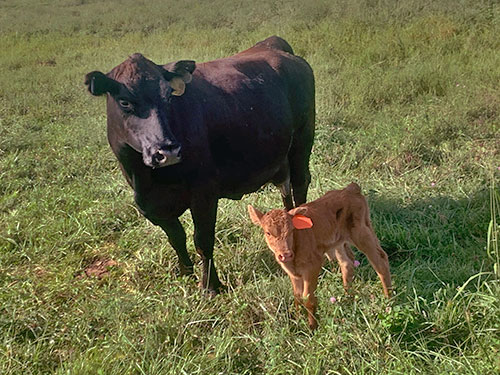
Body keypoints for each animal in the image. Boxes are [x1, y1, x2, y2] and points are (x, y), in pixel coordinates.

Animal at [84, 36, 314, 294]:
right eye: (124, 102)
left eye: (168, 97)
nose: (167, 151)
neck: (148, 179)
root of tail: (274, 46)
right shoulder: (150, 206)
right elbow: (176, 238)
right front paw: (185, 272)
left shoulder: (204, 193)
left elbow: (202, 240)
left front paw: (210, 285)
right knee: (286, 190)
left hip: (302, 141)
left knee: (300, 184)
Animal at [248, 184, 392, 330]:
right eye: (268, 232)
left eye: (292, 230)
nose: (285, 254)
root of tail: (350, 189)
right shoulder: (293, 273)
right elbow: (297, 297)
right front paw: (298, 321)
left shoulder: (313, 265)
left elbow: (308, 298)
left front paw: (312, 327)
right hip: (339, 242)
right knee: (347, 263)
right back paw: (348, 297)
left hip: (362, 232)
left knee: (380, 261)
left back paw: (388, 300)